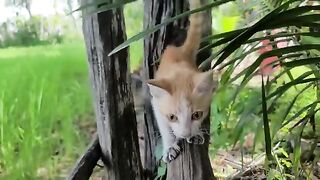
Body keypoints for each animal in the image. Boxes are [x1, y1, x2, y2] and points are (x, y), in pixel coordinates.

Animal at [147, 0, 216, 163]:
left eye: (196, 115)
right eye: (172, 117)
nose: (185, 135)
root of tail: (180, 51)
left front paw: (195, 133)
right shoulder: (156, 104)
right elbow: (164, 128)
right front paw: (170, 146)